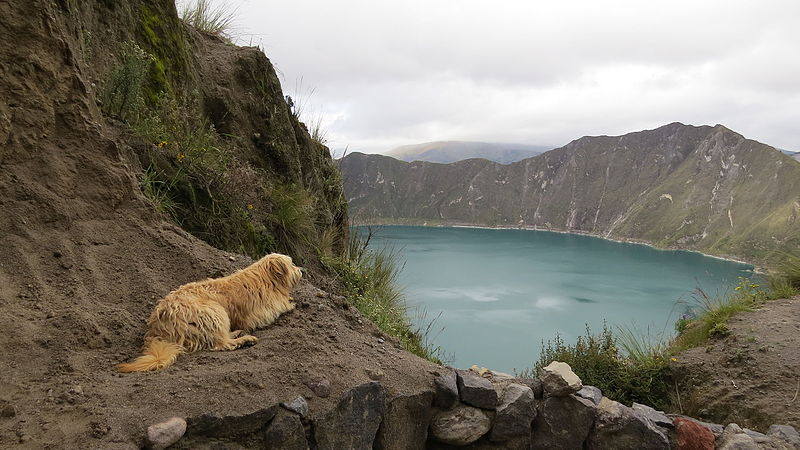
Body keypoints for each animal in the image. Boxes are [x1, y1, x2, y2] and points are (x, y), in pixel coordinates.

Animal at [119, 253, 304, 372]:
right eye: (292, 264)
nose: (302, 270)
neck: (267, 278)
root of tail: (160, 327)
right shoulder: (261, 312)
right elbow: (277, 308)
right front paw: (290, 303)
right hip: (214, 312)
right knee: (221, 343)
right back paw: (244, 340)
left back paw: (237, 333)